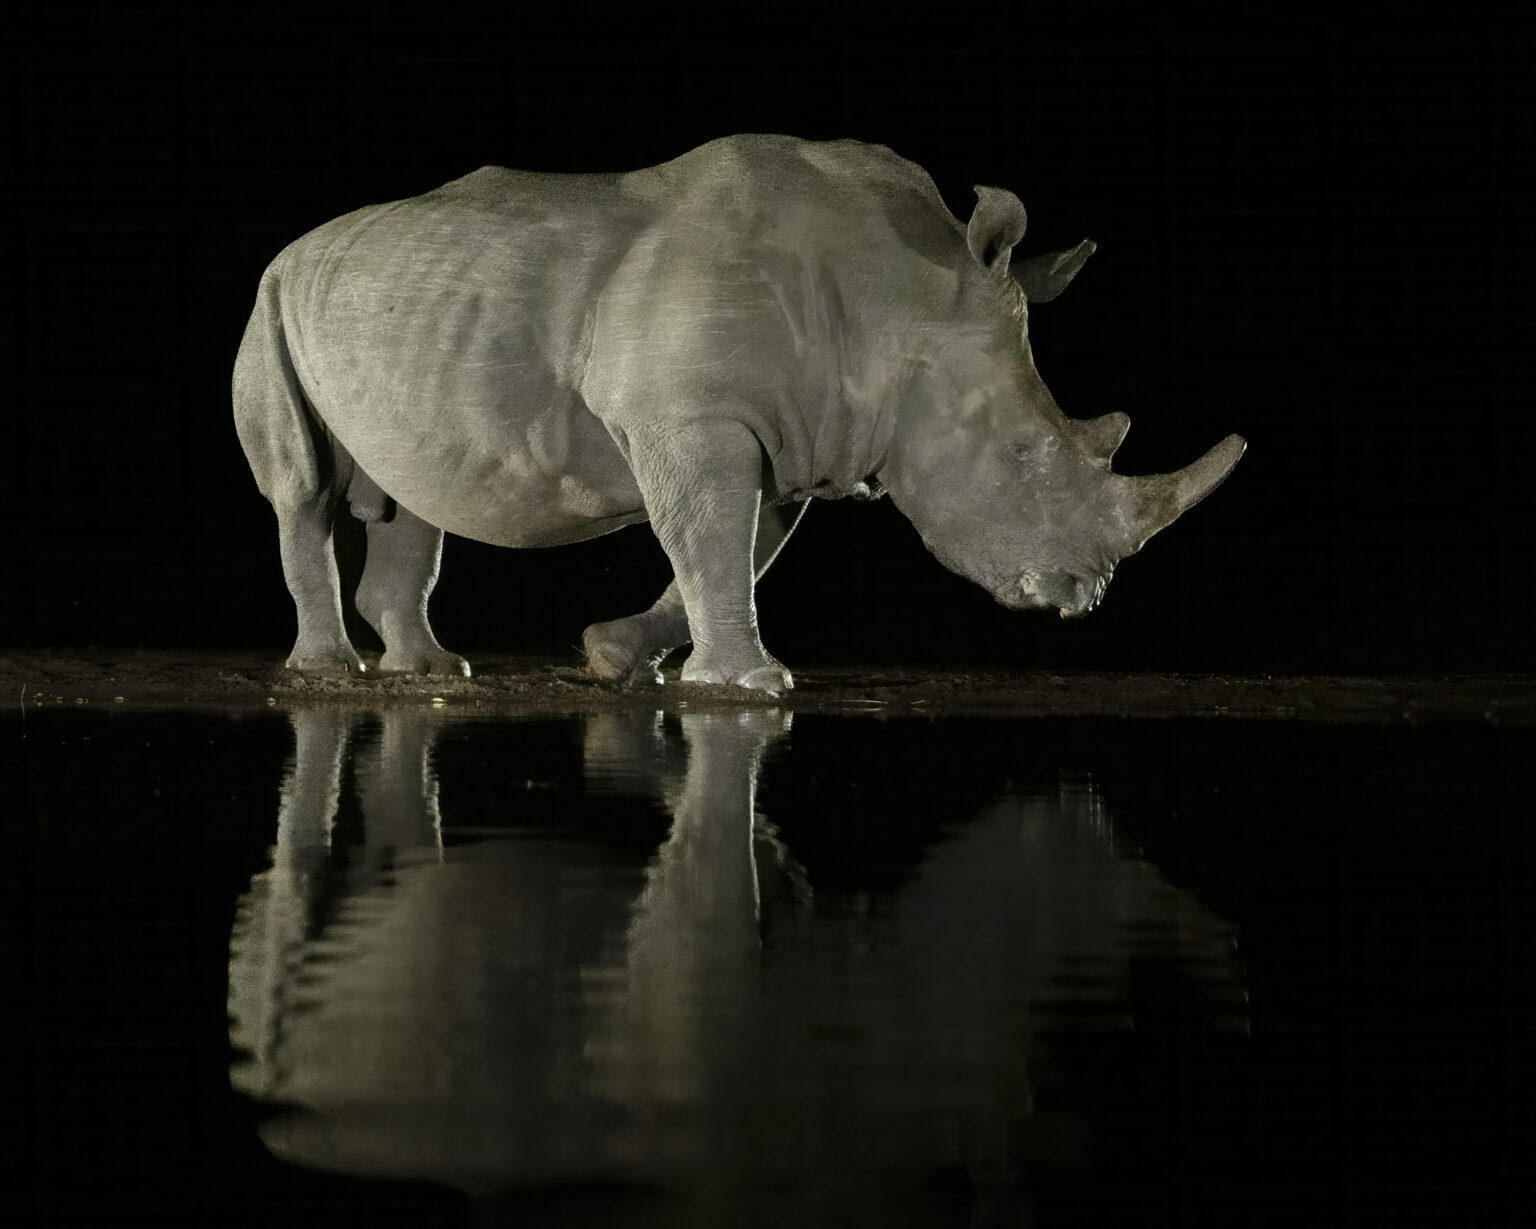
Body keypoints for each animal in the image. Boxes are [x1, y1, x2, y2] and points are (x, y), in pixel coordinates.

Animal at [234, 134, 1244, 691]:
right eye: (1026, 453)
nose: (1084, 595)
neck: (904, 295)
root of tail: (302, 245)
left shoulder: (793, 431)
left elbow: (731, 549)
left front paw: (615, 658)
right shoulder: (692, 413)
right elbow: (713, 538)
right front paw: (757, 687)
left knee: (410, 491)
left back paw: (434, 673)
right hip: (272, 300)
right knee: (303, 490)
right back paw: (329, 674)